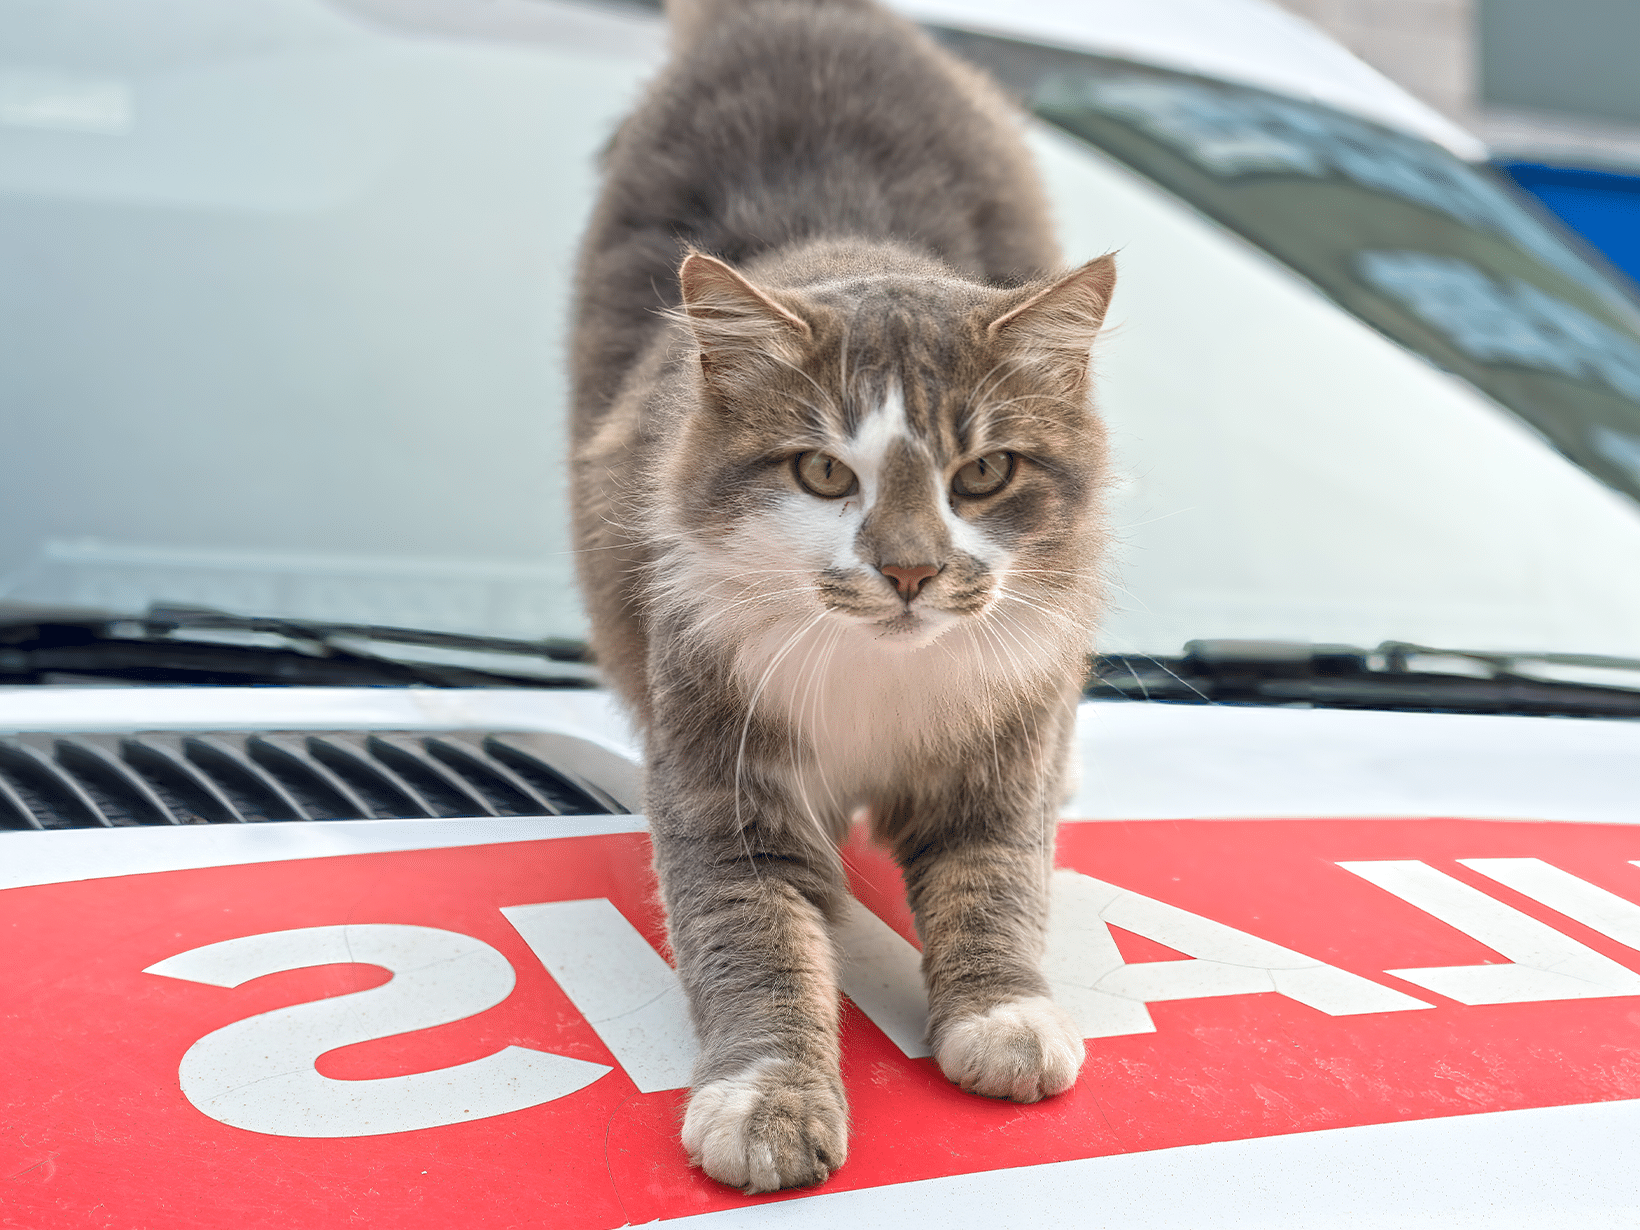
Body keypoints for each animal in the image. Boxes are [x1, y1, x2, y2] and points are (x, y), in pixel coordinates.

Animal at [570, 0, 1121, 1207]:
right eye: (824, 474)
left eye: (983, 474)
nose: (910, 570)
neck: (880, 668)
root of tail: (798, 17)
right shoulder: (722, 772)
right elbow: (757, 943)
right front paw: (768, 1099)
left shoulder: (1002, 746)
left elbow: (995, 879)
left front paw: (1002, 1012)